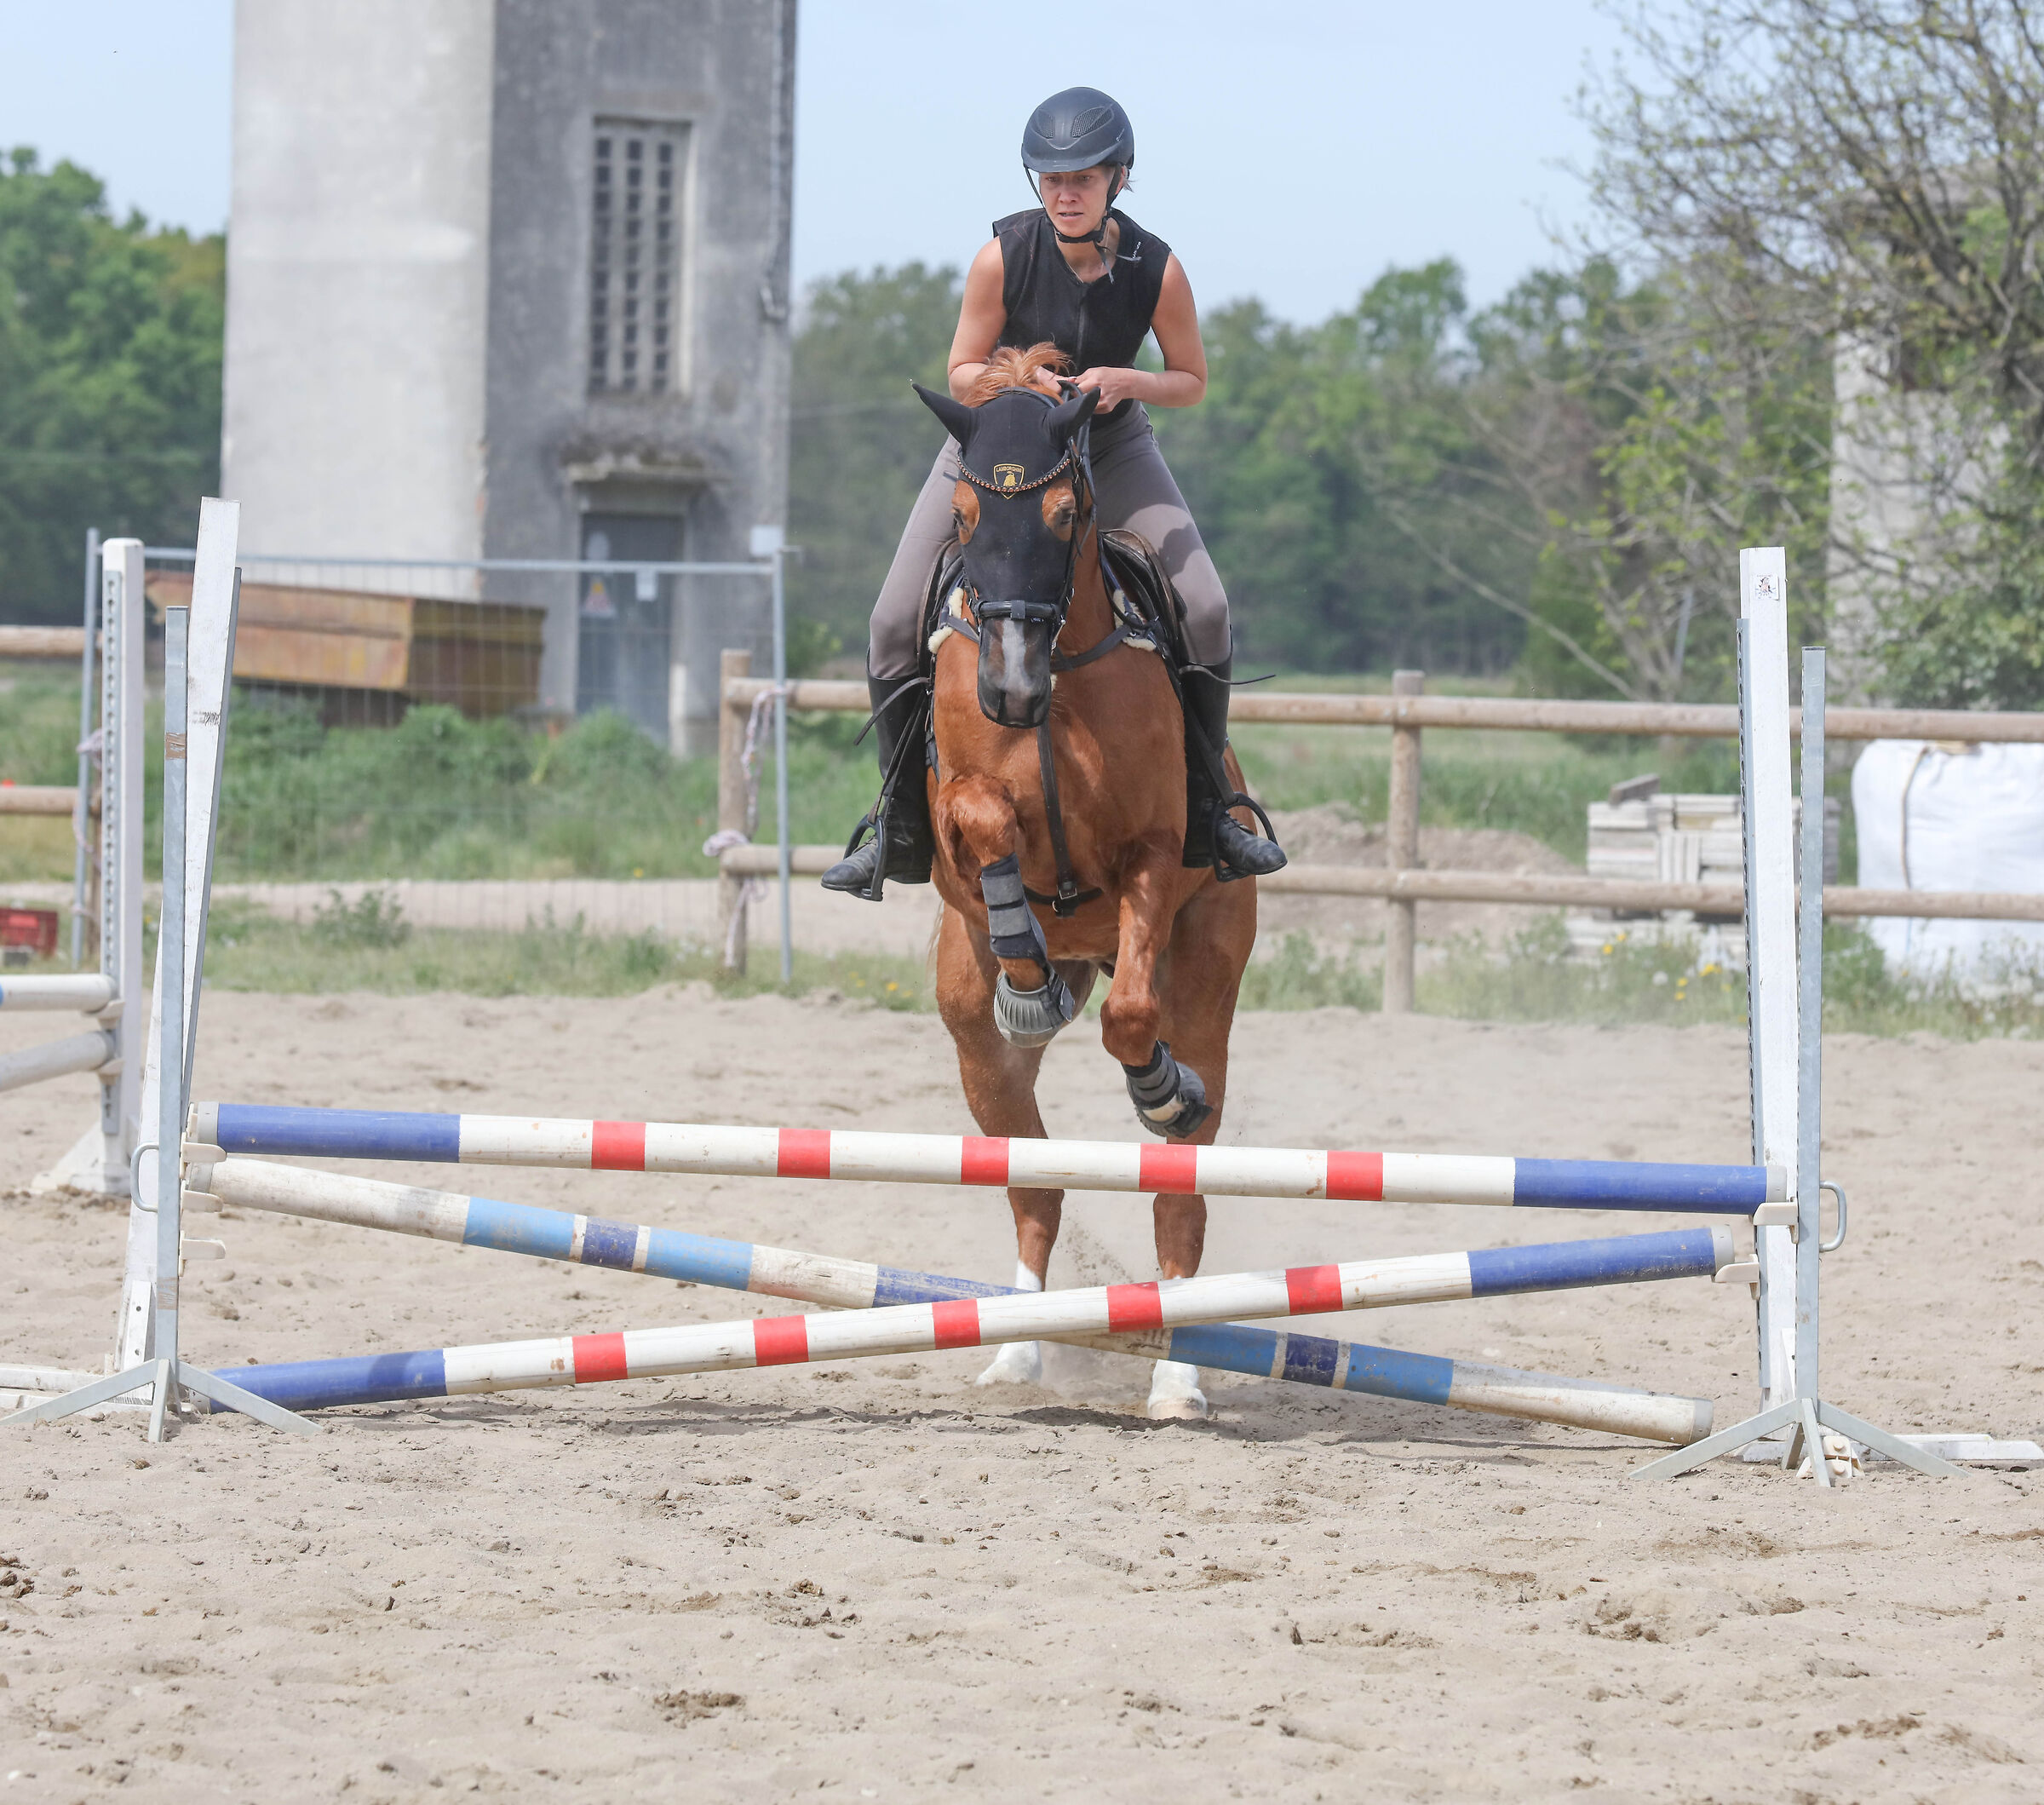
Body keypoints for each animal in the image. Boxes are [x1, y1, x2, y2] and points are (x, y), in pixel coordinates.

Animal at [911, 343, 1262, 1420]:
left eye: (1067, 516)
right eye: (964, 518)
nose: (1009, 691)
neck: (1059, 667)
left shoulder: (1152, 853)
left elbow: (1132, 1016)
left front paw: (1155, 1084)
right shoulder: (958, 820)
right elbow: (985, 822)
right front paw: (1027, 975)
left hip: (1210, 975)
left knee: (1179, 1187)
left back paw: (1178, 1376)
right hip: (971, 1034)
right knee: (1034, 1179)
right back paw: (1017, 1350)